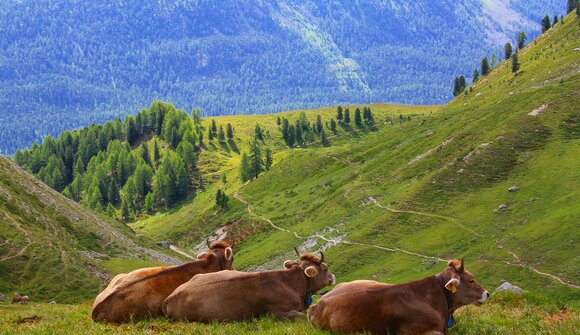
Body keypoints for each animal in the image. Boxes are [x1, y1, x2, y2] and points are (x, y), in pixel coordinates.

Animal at [163, 252, 336, 322]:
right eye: (325, 268)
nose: (332, 277)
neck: (290, 283)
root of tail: (169, 298)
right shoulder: (276, 313)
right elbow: (302, 316)